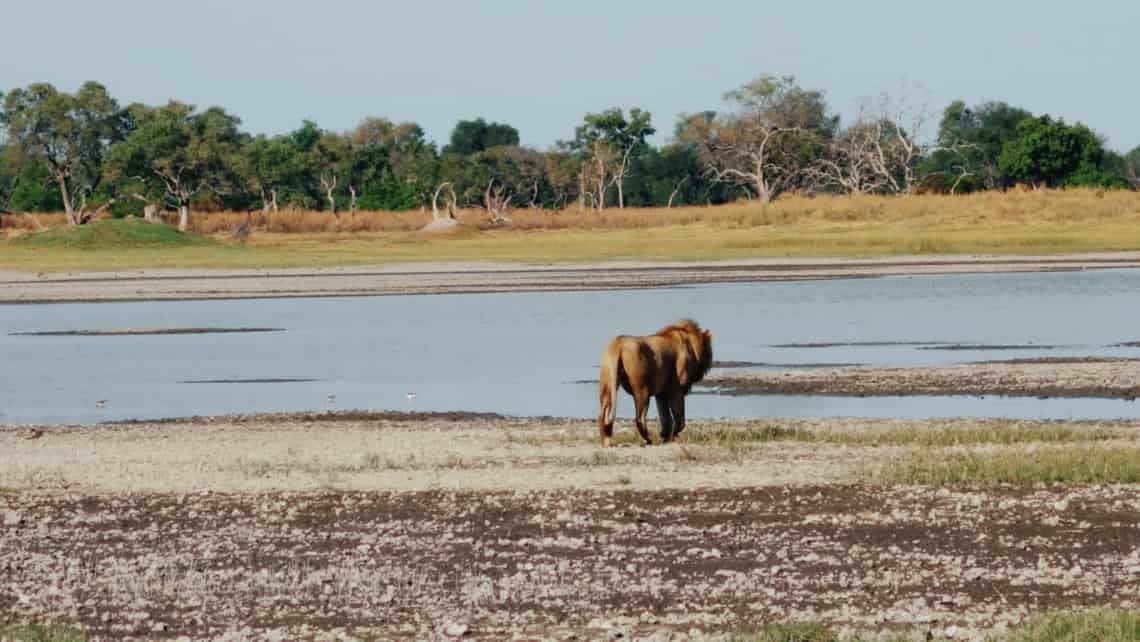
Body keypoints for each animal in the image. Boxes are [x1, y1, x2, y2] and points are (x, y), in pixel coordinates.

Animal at [597, 319, 711, 447]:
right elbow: (679, 417)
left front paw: (666, 436)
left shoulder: (661, 393)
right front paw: (673, 434)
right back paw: (649, 441)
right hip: (642, 390)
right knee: (639, 418)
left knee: (603, 414)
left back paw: (606, 442)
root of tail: (618, 343)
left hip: (607, 384)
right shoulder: (677, 389)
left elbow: (665, 417)